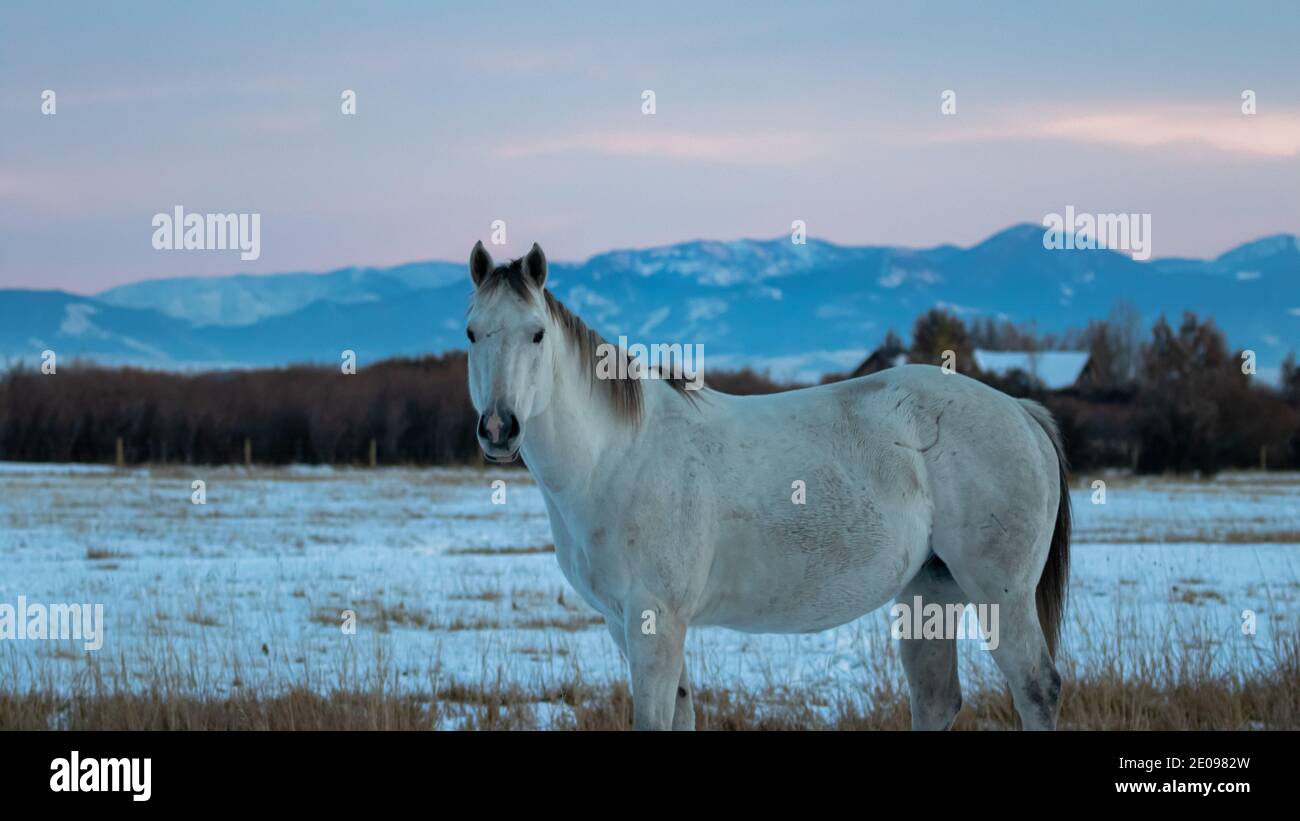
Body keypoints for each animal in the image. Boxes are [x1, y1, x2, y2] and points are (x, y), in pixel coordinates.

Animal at [462, 240, 1071, 727]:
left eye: (537, 334)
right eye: (471, 333)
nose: (498, 428)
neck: (615, 457)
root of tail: (1019, 411)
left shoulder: (654, 624)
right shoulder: (627, 625)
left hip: (1000, 595)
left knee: (1035, 689)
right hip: (930, 592)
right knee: (937, 700)